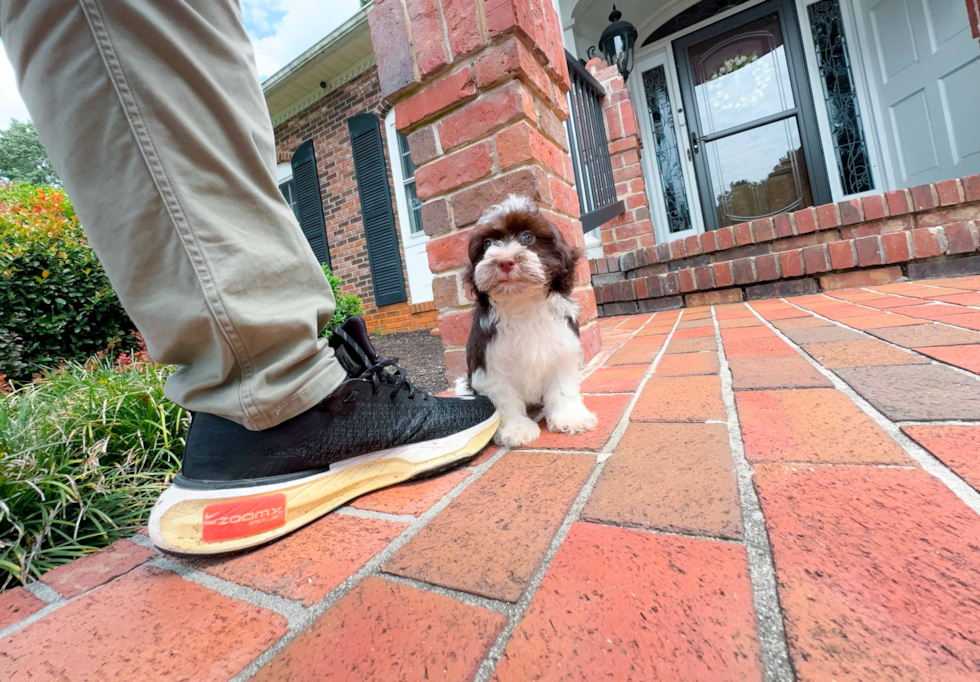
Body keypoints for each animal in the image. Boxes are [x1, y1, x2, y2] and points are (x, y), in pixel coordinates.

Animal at [462, 194, 596, 446]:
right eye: (487, 244)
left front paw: (570, 417)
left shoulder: (562, 347)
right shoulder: (490, 361)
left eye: (527, 237)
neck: (522, 303)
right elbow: (504, 397)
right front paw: (516, 428)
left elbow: (563, 385)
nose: (504, 261)